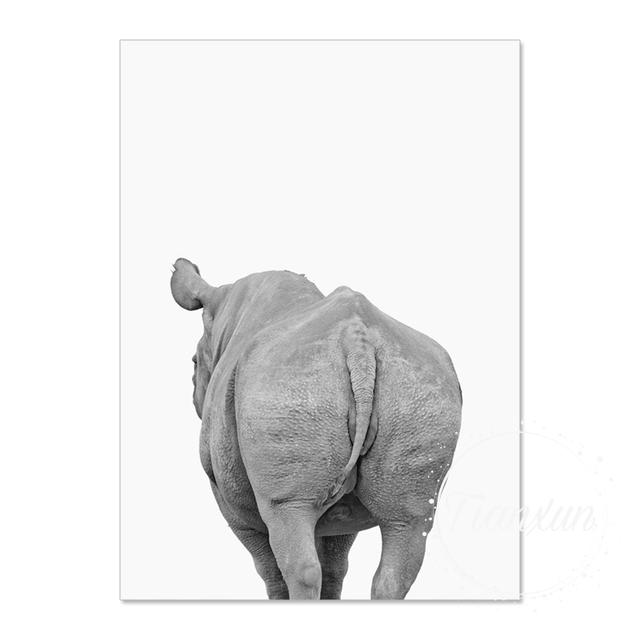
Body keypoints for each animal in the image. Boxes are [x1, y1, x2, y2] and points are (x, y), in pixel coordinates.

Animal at [170, 258, 462, 599]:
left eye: (193, 363)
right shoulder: (344, 513)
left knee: (292, 527)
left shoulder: (231, 502)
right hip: (419, 389)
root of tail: (357, 340)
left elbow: (269, 568)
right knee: (407, 525)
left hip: (290, 386)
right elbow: (336, 564)